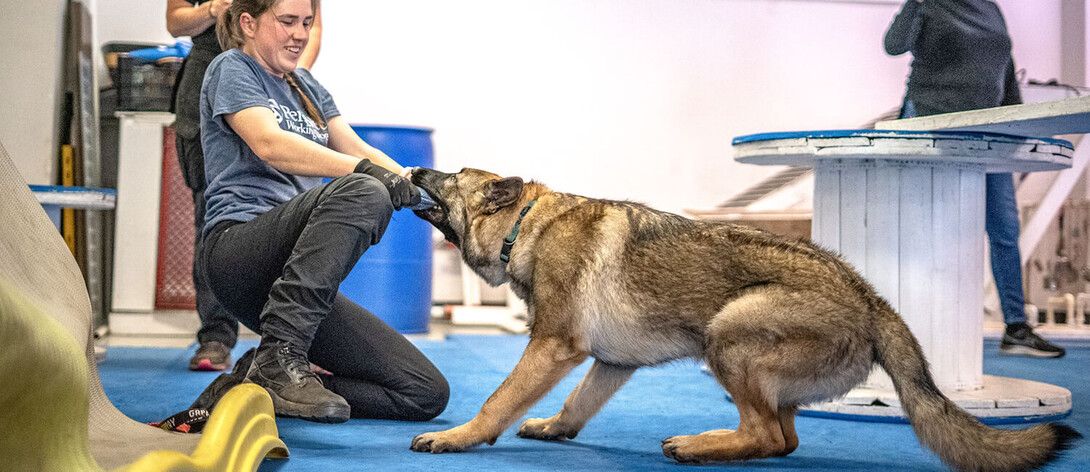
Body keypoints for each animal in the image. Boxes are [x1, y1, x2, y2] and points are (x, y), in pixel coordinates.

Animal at [407, 167, 1081, 468]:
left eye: (451, 175)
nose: (413, 169)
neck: (528, 225)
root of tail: (870, 298)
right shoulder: (609, 363)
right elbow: (577, 404)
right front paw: (554, 428)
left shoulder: (553, 347)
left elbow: (498, 398)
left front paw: (459, 437)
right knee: (784, 437)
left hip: (727, 335)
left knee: (769, 436)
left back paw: (698, 445)